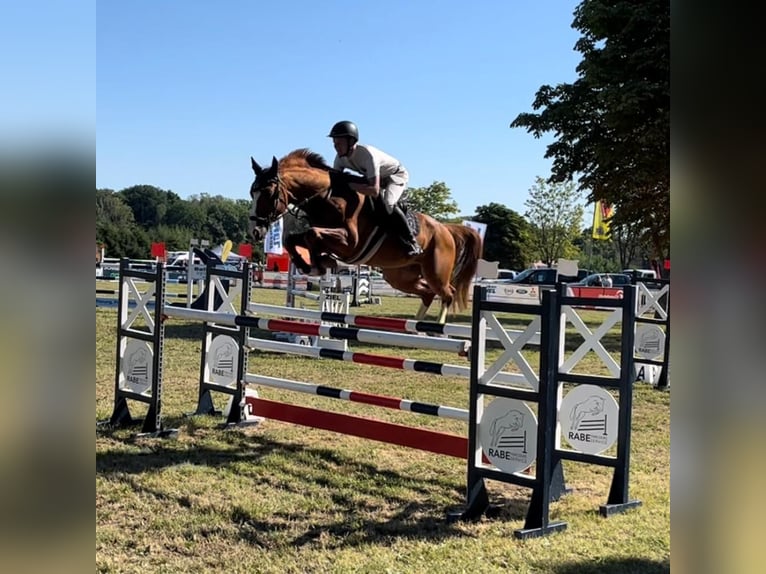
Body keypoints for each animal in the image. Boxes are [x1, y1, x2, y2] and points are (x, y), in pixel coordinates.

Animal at [249, 148, 484, 324]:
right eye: (252, 193)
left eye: (268, 193)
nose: (256, 231)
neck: (327, 197)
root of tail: (446, 229)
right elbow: (294, 238)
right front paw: (313, 264)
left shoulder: (349, 243)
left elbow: (311, 234)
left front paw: (319, 264)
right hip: (399, 276)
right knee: (427, 293)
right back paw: (416, 327)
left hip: (435, 272)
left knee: (448, 293)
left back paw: (437, 328)